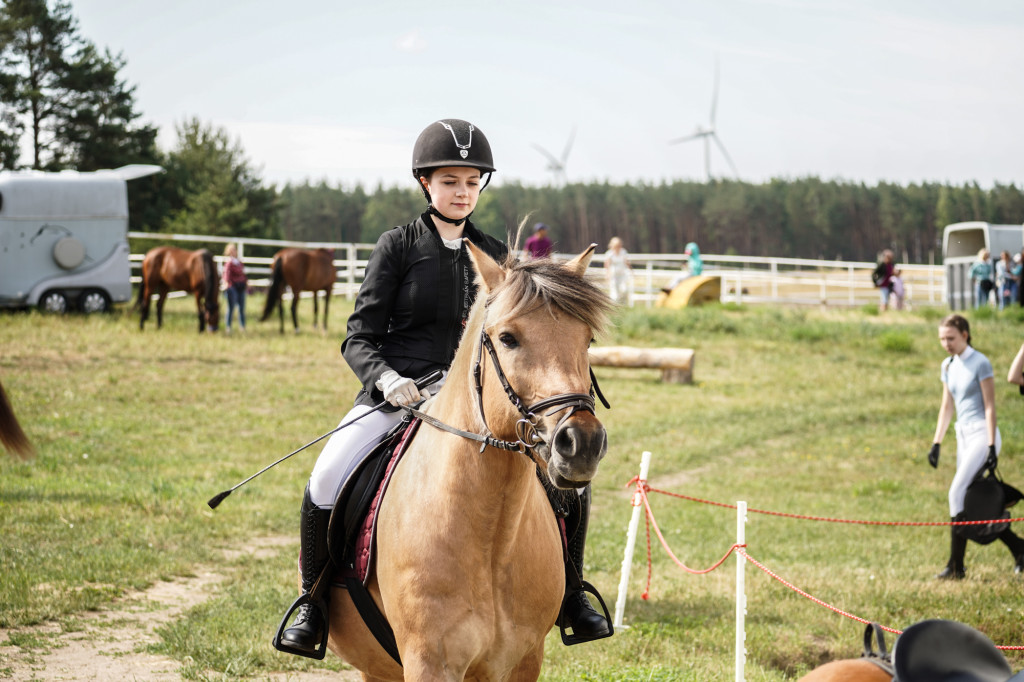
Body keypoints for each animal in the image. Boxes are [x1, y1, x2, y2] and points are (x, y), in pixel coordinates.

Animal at [311, 241, 610, 675]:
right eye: (507, 338)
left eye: (587, 340)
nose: (582, 443)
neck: (492, 539)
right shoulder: (430, 662)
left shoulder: (524, 660)